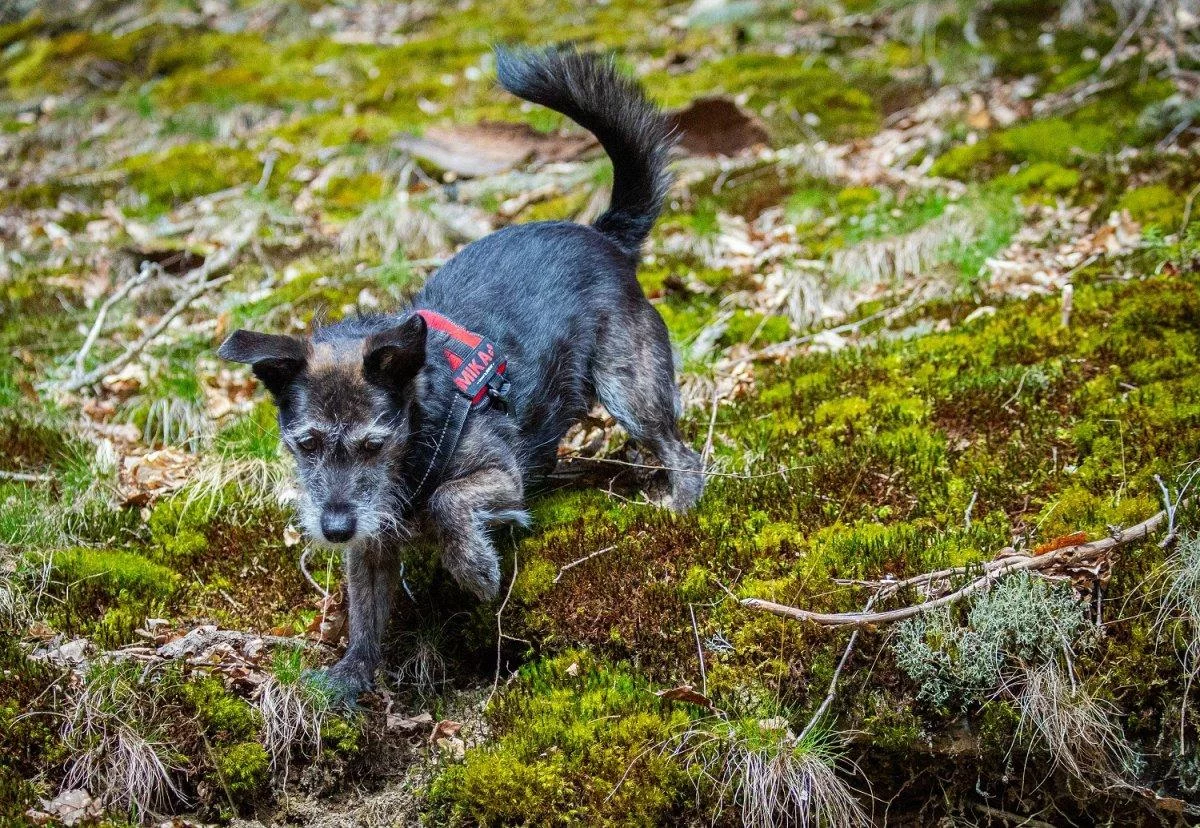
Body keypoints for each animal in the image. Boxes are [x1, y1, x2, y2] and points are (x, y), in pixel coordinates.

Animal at [218, 46, 700, 696]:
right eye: (307, 444)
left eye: (374, 445)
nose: (335, 526)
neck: (418, 433)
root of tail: (604, 235)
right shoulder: (370, 542)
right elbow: (365, 610)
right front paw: (352, 673)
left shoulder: (497, 476)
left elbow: (449, 503)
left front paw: (474, 570)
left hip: (630, 387)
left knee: (682, 452)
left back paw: (682, 506)